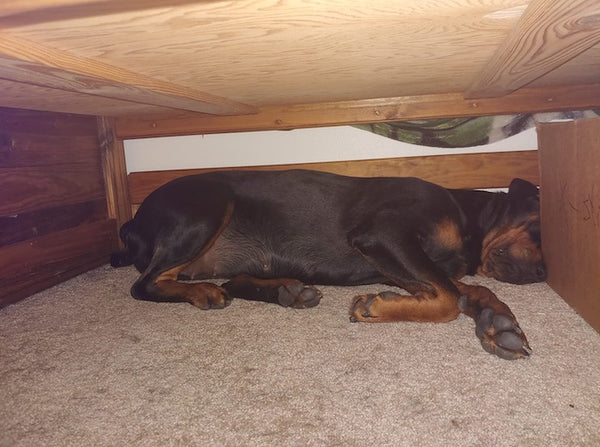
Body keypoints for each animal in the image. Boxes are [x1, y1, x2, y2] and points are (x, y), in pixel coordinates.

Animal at [110, 171, 548, 360]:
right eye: (541, 226)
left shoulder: (405, 262)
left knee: (232, 281)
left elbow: (464, 291)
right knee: (144, 285)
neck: (467, 216)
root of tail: (132, 221)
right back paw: (202, 291)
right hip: (208, 207)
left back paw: (286, 290)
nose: (544, 273)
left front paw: (500, 324)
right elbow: (448, 300)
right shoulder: (384, 235)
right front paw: (374, 306)